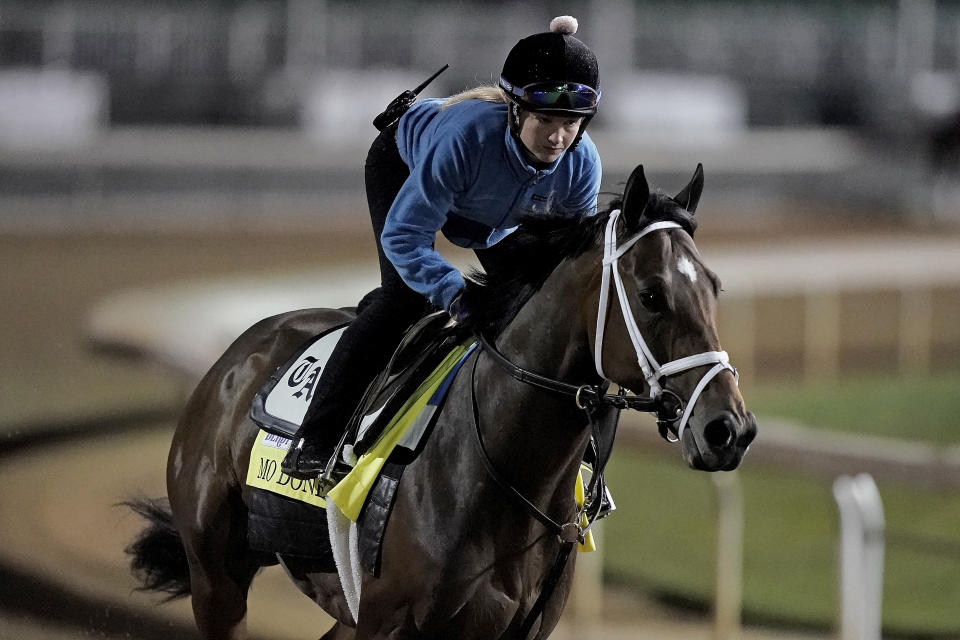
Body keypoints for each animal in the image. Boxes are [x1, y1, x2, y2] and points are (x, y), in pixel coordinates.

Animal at [127, 165, 756, 640]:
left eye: (715, 287)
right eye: (651, 295)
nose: (730, 430)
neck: (502, 473)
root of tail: (237, 355)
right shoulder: (386, 626)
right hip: (216, 576)